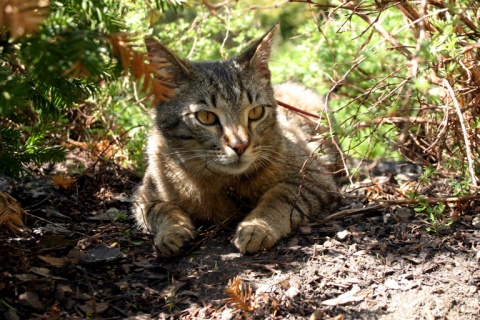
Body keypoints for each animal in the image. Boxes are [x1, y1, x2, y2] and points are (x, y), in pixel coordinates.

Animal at [133, 24, 340, 255]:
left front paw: (256, 227)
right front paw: (171, 232)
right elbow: (164, 209)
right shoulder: (144, 196)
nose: (240, 145)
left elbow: (279, 196)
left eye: (256, 112)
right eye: (206, 117)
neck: (220, 182)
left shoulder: (314, 178)